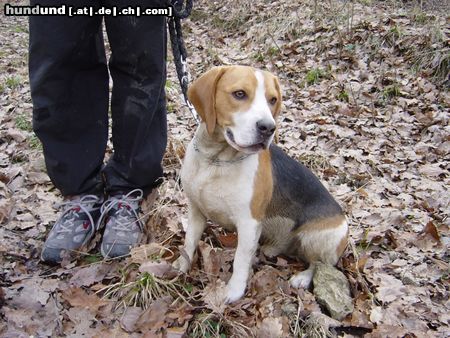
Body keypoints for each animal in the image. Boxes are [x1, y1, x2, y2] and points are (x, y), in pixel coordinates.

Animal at [174, 64, 350, 302]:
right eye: (239, 94)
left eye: (272, 99)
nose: (268, 127)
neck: (216, 160)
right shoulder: (195, 211)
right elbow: (189, 242)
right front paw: (181, 266)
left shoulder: (249, 224)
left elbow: (240, 260)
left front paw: (234, 291)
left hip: (320, 238)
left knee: (320, 264)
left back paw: (303, 278)